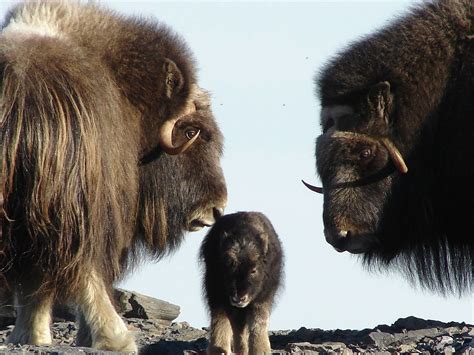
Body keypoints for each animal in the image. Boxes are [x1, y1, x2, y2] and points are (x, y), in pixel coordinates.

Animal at [199, 213, 284, 354]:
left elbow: (258, 321)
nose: (238, 298)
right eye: (227, 266)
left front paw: (261, 350)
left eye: (253, 270)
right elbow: (231, 324)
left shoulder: (263, 297)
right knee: (222, 319)